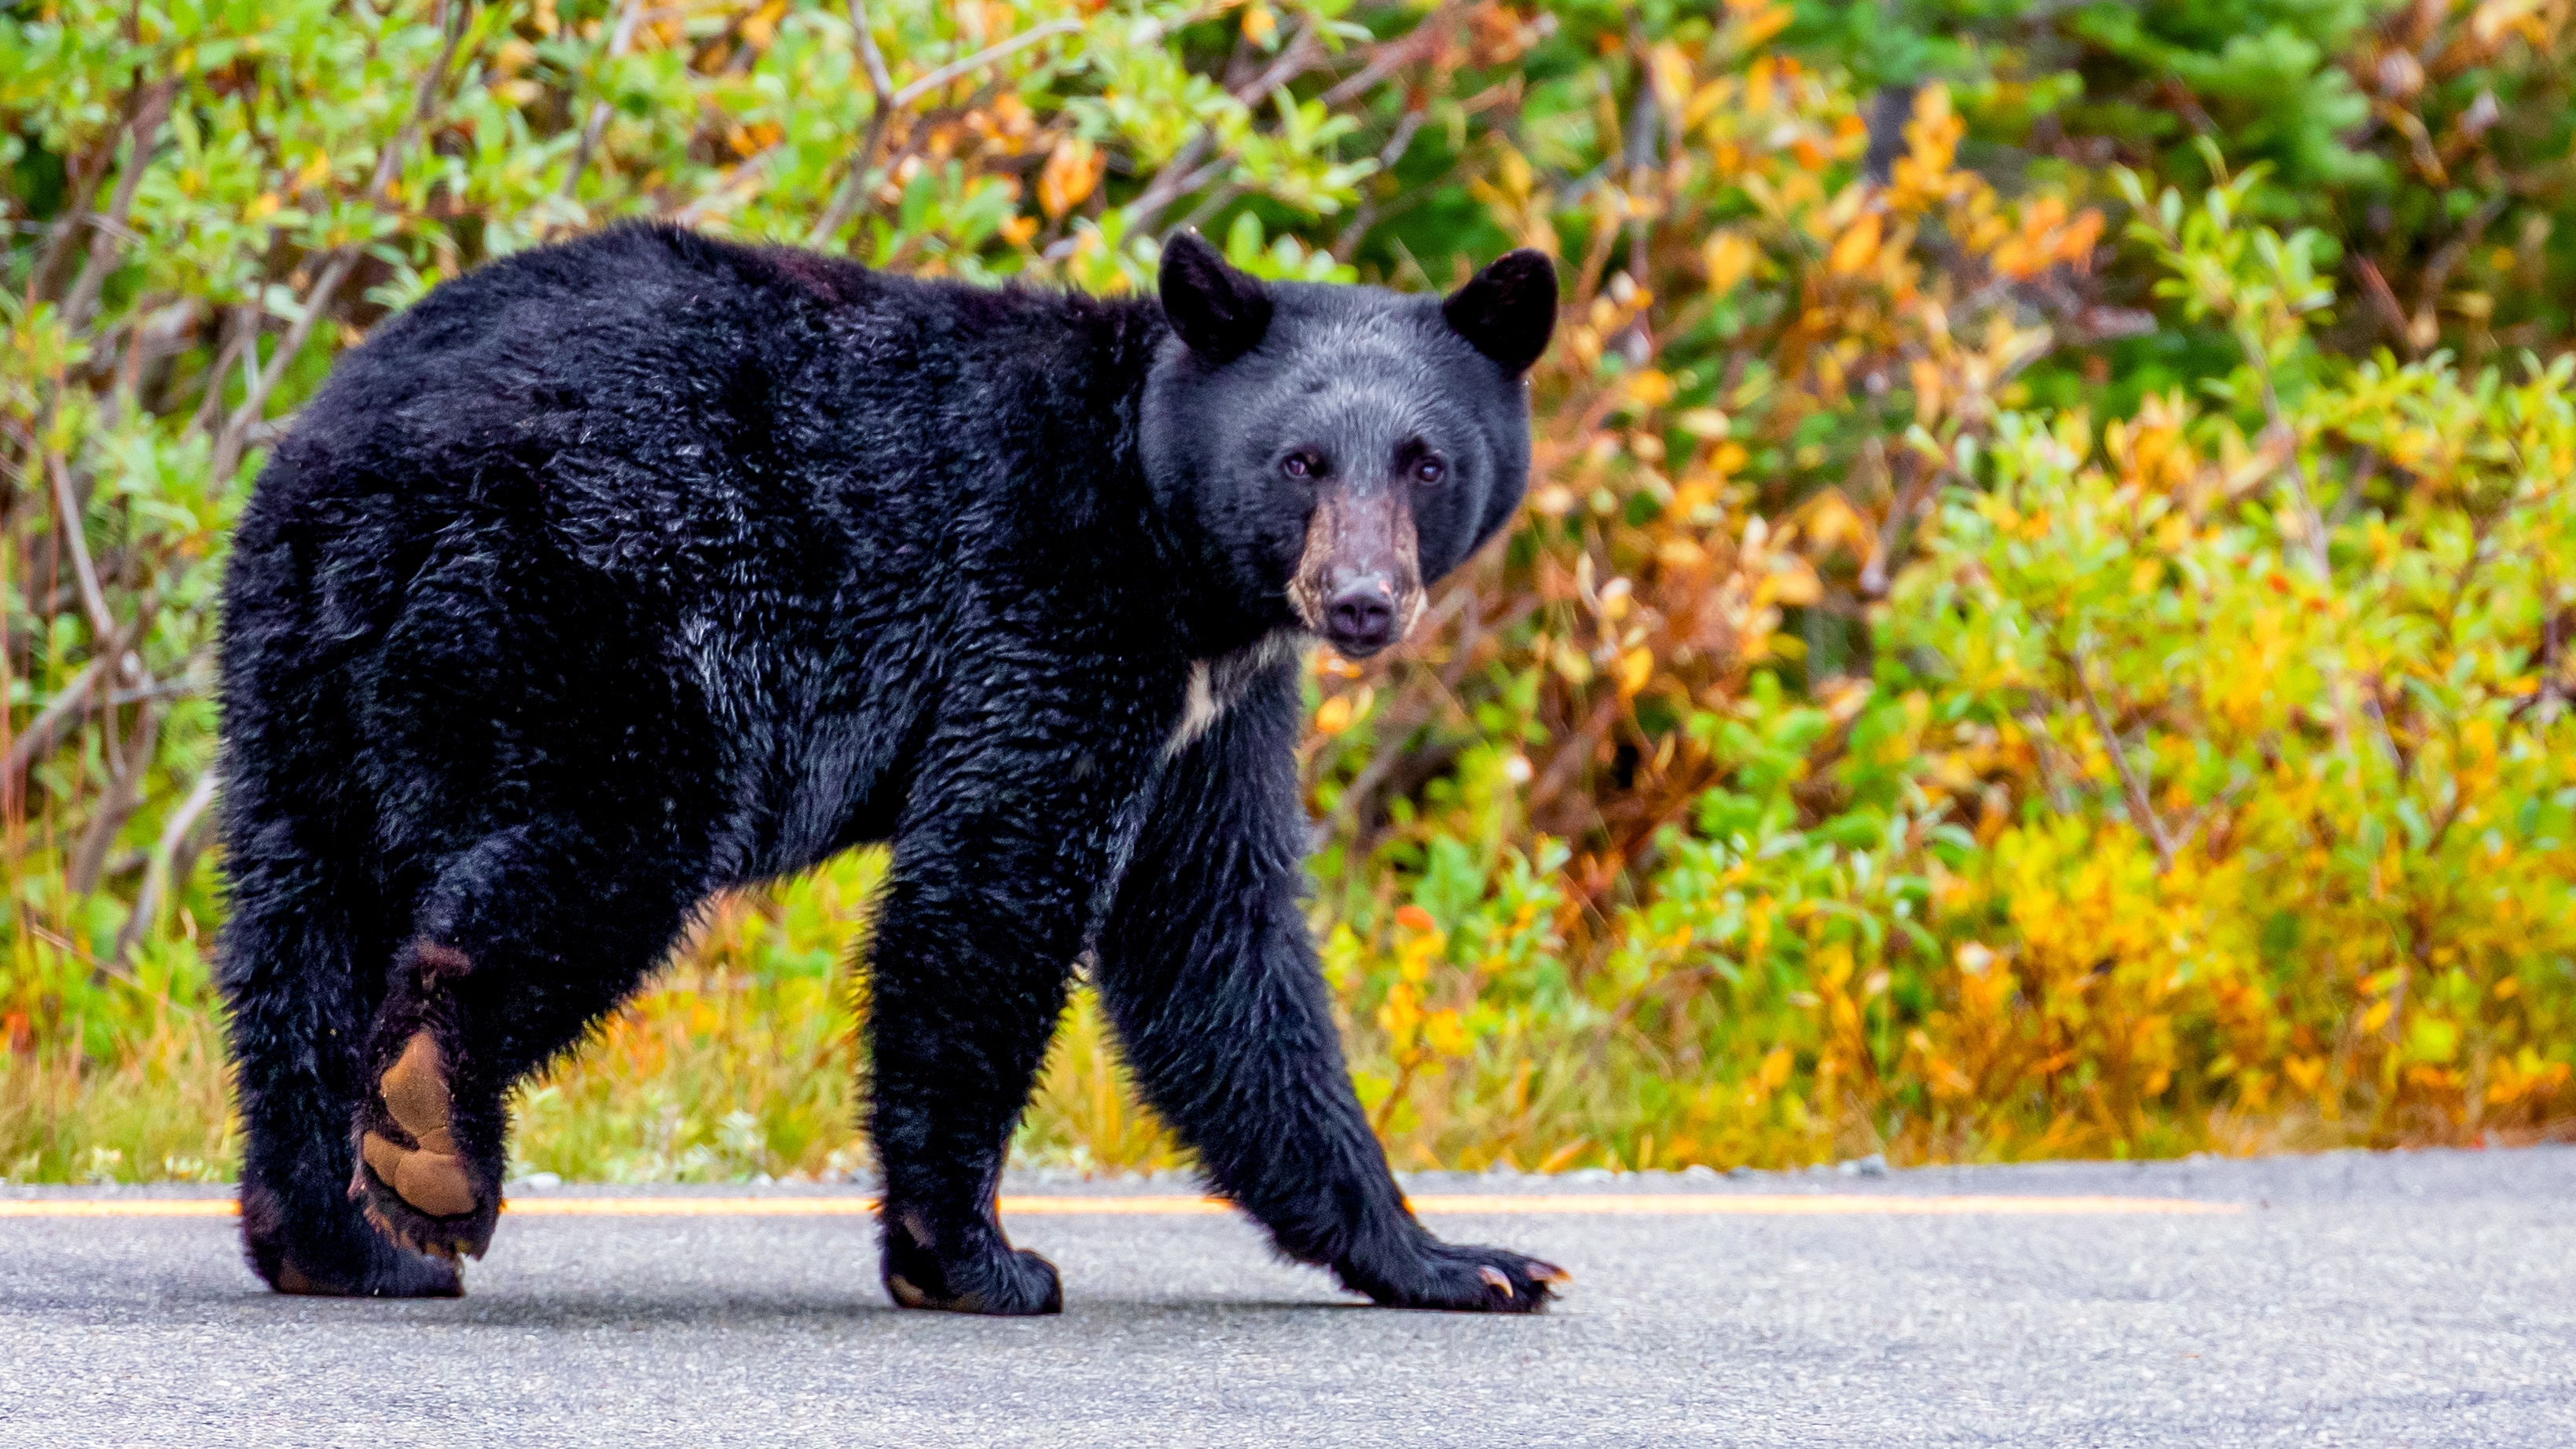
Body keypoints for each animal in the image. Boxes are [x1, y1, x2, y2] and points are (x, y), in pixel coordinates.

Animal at [211, 223, 1555, 1317]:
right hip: (597, 611)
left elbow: (1214, 940)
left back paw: (342, 1242)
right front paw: (970, 1258)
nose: (1362, 600)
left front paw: (1450, 1258)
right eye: (1301, 462)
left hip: (292, 672)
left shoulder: (1211, 711)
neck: (1168, 539)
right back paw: (433, 1137)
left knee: (298, 932)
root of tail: (366, 467)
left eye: (1424, 461)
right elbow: (993, 887)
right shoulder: (1052, 607)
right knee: (598, 853)